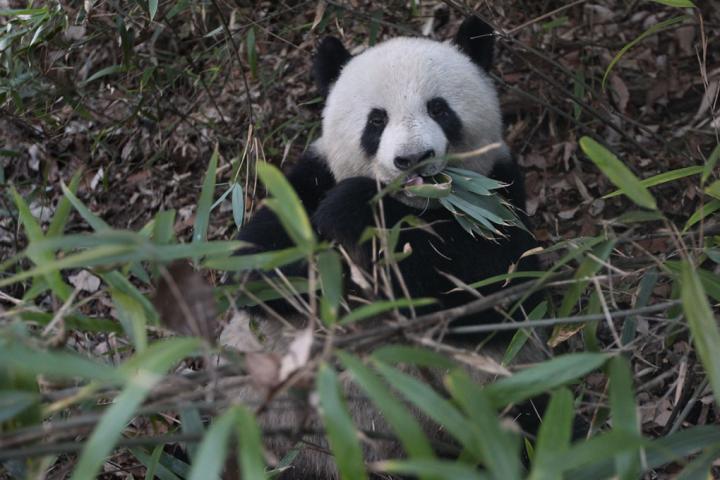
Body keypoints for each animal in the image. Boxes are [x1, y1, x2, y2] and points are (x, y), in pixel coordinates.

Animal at [228, 16, 541, 479]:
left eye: (439, 108)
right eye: (376, 120)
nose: (413, 159)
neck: (415, 207)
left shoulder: (498, 194)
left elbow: (498, 285)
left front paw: (356, 210)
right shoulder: (307, 182)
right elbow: (258, 268)